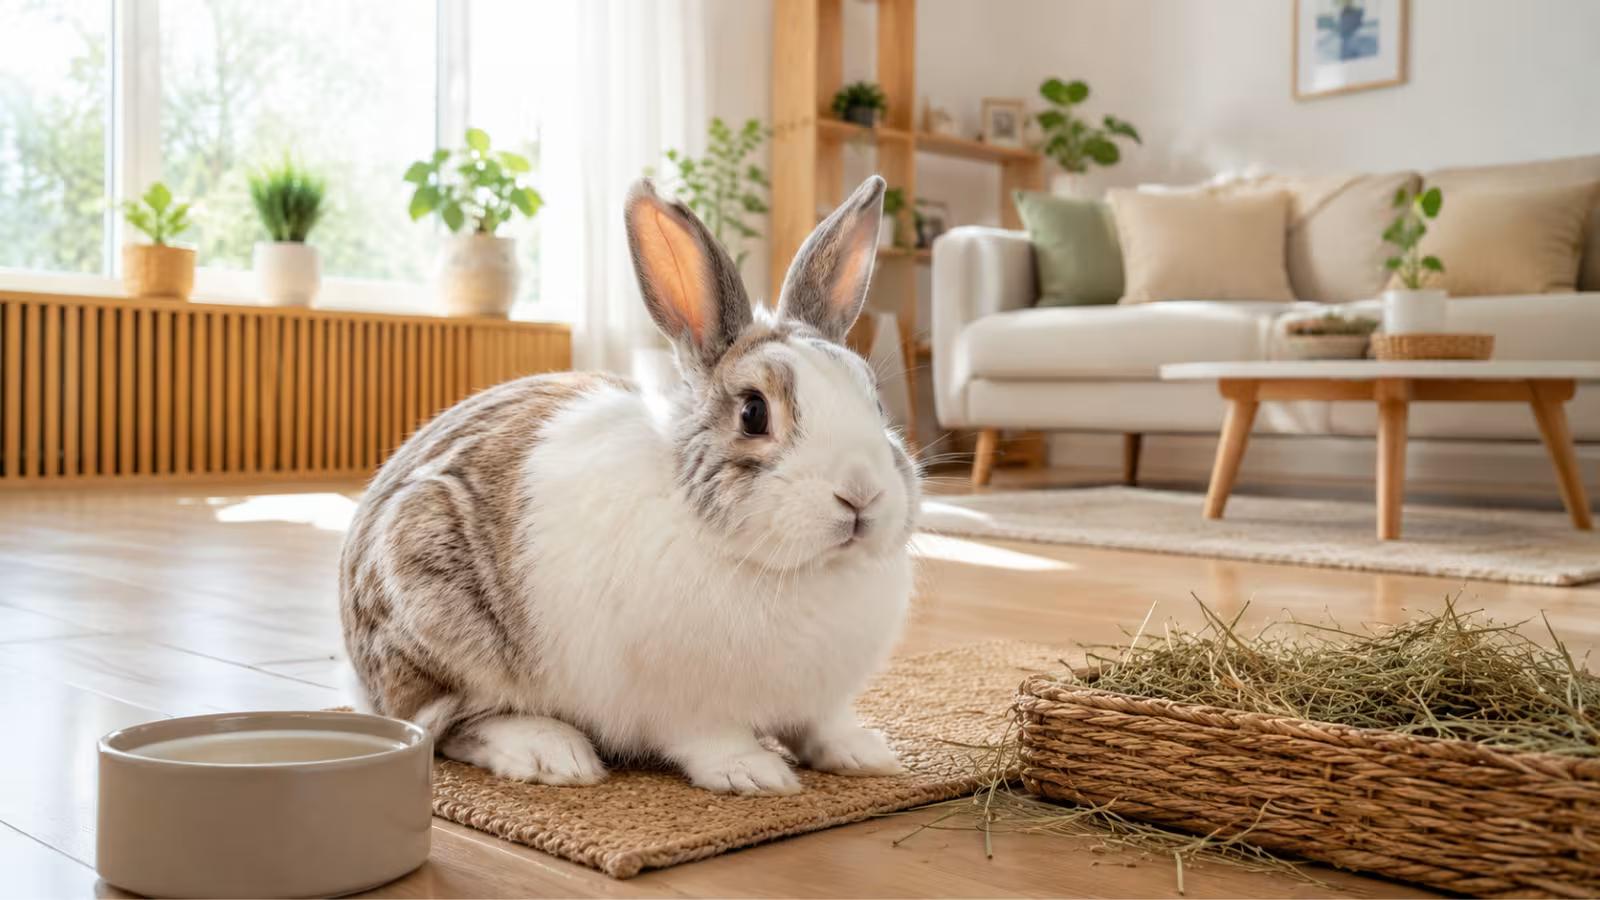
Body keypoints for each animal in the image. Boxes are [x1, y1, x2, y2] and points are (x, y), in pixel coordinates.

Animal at [339, 175, 920, 795]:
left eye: (875, 400)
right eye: (754, 413)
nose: (861, 494)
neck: (797, 568)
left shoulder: (820, 702)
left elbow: (822, 726)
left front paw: (866, 755)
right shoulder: (685, 706)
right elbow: (711, 738)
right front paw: (754, 774)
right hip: (437, 614)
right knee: (448, 725)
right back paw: (552, 754)